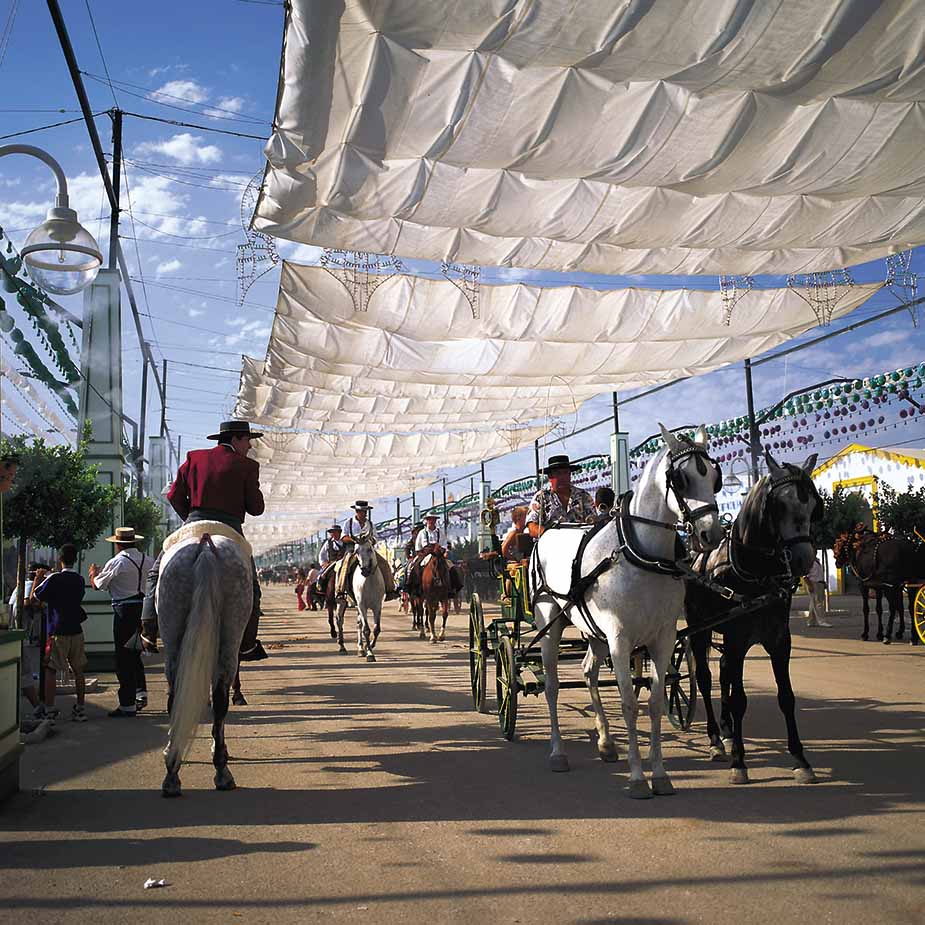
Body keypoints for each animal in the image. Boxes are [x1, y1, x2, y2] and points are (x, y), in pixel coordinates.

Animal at [532, 424, 724, 796]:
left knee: (588, 672)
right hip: (551, 622)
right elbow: (629, 704)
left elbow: (654, 702)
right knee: (551, 686)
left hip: (594, 633)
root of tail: (548, 532)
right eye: (680, 480)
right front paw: (637, 778)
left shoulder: (663, 637)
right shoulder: (620, 640)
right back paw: (557, 752)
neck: (643, 555)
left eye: (714, 476)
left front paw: (659, 774)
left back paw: (606, 743)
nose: (713, 533)